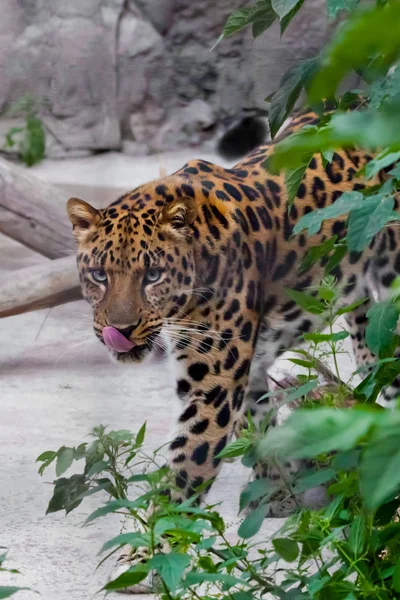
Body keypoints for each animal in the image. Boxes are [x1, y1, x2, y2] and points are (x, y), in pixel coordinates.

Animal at [68, 111, 400, 592]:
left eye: (152, 275)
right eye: (98, 274)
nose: (120, 331)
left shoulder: (215, 386)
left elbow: (186, 469)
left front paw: (150, 556)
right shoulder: (248, 367)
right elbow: (259, 427)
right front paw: (276, 494)